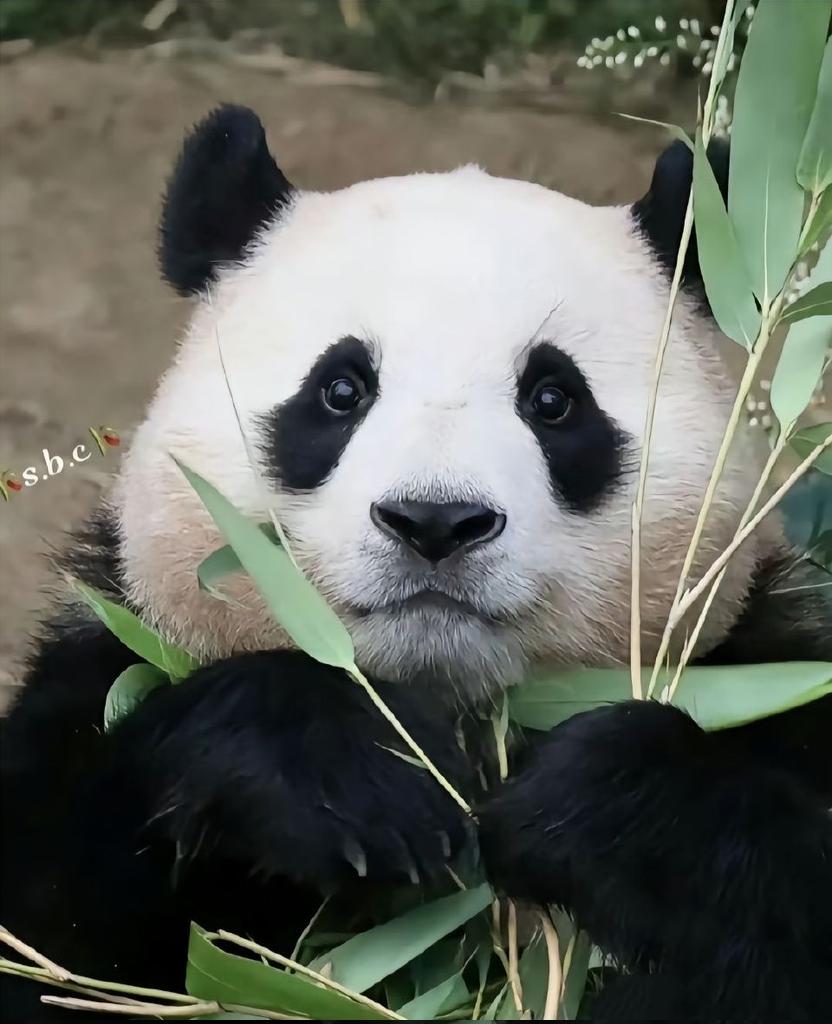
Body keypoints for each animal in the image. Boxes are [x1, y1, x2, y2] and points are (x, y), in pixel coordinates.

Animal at [0, 103, 827, 1015]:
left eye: (553, 399)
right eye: (340, 390)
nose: (435, 522)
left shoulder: (771, 666)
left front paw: (602, 801)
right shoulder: (116, 654)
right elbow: (60, 926)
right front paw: (361, 779)